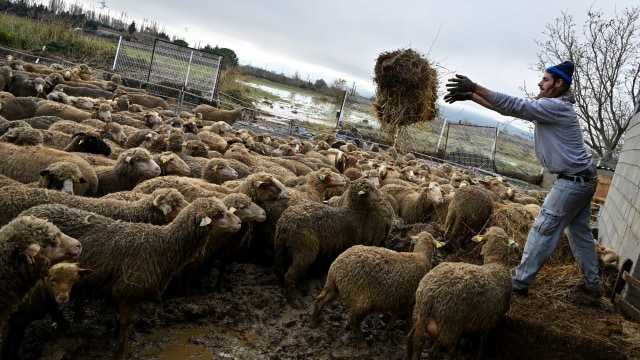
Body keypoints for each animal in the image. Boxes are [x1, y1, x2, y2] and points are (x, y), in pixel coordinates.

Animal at [17, 197, 242, 360]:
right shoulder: (129, 291)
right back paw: (66, 325)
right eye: (219, 214)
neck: (162, 245)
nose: (239, 222)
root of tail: (26, 214)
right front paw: (119, 352)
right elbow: (126, 323)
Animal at [276, 177, 396, 306]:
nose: (382, 197)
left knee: (281, 270)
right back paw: (296, 301)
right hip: (304, 249)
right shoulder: (349, 243)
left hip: (281, 249)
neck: (354, 214)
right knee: (290, 275)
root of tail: (285, 224)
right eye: (370, 188)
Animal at [312, 232, 444, 348]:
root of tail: (336, 266)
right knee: (353, 322)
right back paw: (364, 344)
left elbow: (400, 318)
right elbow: (396, 319)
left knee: (320, 300)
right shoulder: (407, 302)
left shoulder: (402, 301)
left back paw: (314, 321)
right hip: (359, 300)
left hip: (332, 286)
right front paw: (388, 336)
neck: (421, 257)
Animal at [408, 226, 512, 360]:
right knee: (432, 352)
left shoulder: (465, 321)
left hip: (420, 315)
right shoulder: (493, 319)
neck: (497, 265)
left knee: (412, 338)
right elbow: (484, 341)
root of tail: (428, 294)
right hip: (447, 326)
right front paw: (479, 356)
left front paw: (454, 352)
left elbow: (460, 337)